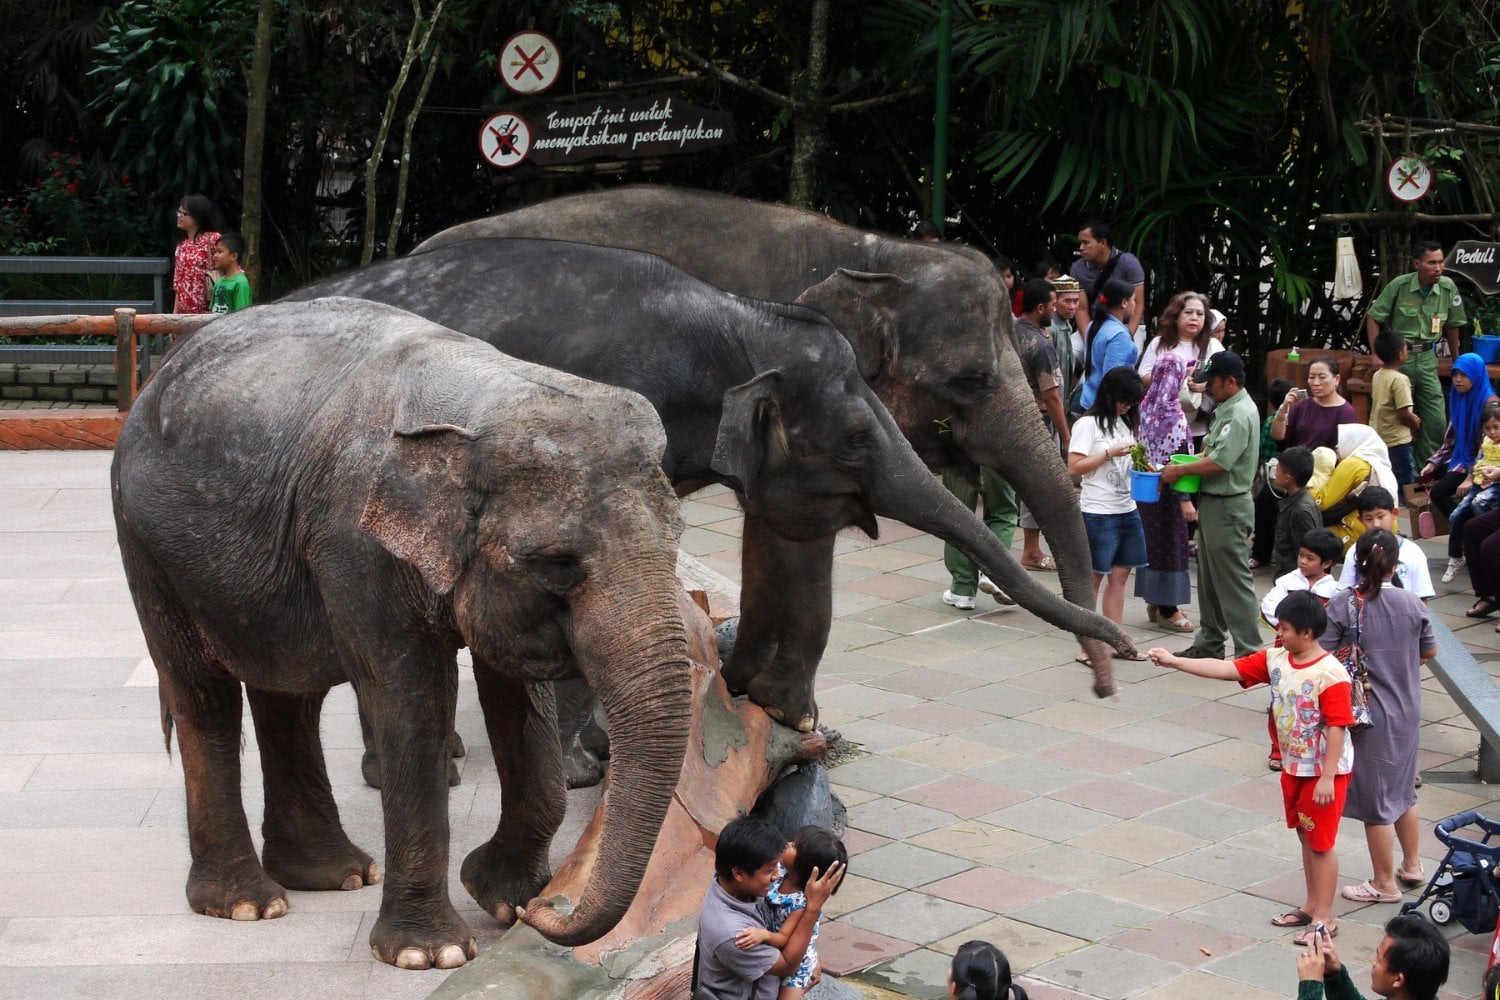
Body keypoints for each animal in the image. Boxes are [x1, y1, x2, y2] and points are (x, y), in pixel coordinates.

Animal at [110, 297, 691, 967]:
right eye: (557, 562)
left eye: (678, 537)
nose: (553, 911)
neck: (484, 401)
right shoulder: (355, 544)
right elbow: (411, 698)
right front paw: (432, 955)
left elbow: (517, 695)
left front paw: (507, 899)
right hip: (146, 548)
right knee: (203, 693)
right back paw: (247, 905)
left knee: (290, 693)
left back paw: (334, 875)